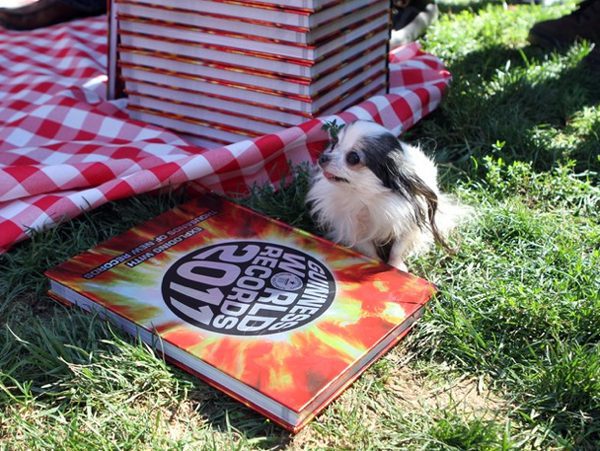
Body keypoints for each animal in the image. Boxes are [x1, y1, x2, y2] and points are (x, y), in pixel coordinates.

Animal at [304, 119, 464, 272]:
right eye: (334, 144)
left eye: (353, 158)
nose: (323, 157)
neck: (365, 196)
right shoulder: (352, 229)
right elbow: (367, 249)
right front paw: (376, 263)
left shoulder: (409, 222)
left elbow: (397, 248)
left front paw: (396, 265)